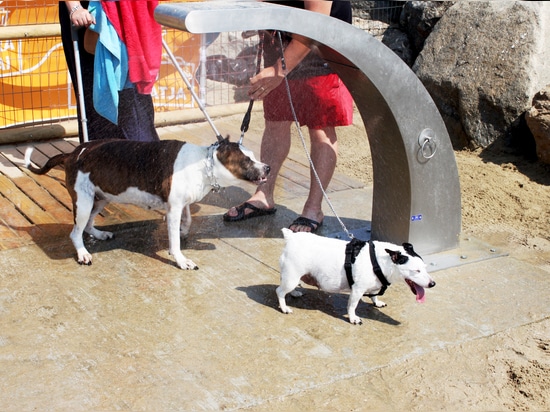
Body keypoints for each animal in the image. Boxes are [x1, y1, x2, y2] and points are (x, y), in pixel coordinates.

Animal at [25, 137, 272, 268]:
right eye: (247, 160)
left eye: (254, 155)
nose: (268, 167)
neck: (204, 164)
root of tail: (73, 153)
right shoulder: (173, 209)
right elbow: (175, 242)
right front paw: (180, 259)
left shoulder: (181, 205)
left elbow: (188, 219)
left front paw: (183, 230)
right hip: (84, 202)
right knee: (75, 232)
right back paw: (82, 253)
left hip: (100, 198)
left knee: (86, 225)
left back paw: (99, 234)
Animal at [278, 227, 438, 324]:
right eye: (416, 271)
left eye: (425, 268)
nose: (432, 284)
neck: (378, 260)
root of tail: (291, 237)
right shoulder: (357, 290)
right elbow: (352, 305)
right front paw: (353, 318)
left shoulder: (375, 286)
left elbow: (374, 295)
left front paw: (377, 302)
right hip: (292, 277)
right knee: (280, 291)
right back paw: (284, 308)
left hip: (292, 277)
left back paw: (294, 293)